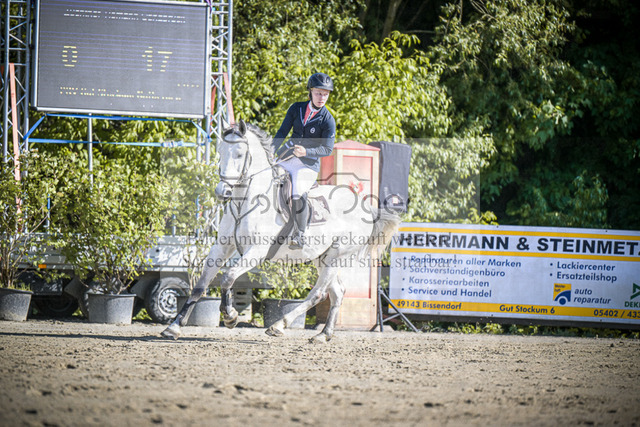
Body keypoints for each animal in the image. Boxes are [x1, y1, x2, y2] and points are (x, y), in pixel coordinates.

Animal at [161, 120, 401, 343]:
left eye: (239, 154)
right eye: (220, 152)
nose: (223, 191)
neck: (244, 202)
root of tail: (365, 207)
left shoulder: (256, 252)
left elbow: (228, 278)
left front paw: (230, 317)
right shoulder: (221, 247)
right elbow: (200, 286)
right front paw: (174, 327)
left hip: (337, 256)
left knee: (318, 294)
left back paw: (279, 325)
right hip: (321, 257)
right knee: (337, 292)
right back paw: (323, 334)